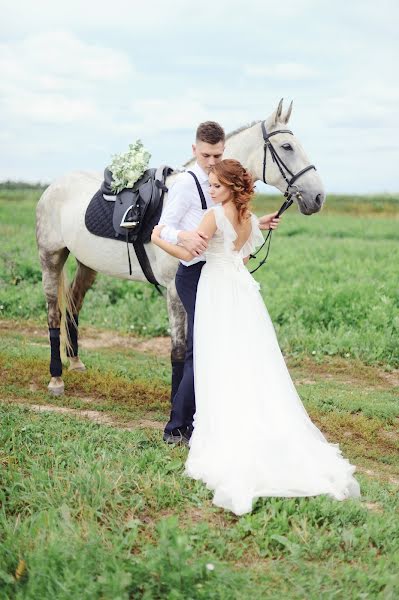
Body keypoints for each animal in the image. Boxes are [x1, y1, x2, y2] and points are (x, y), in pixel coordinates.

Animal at [36, 100, 324, 396]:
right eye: (287, 147)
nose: (318, 196)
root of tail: (53, 187)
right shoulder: (174, 290)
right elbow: (178, 350)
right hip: (50, 257)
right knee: (53, 313)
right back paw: (56, 378)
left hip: (87, 265)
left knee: (73, 305)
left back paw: (76, 362)